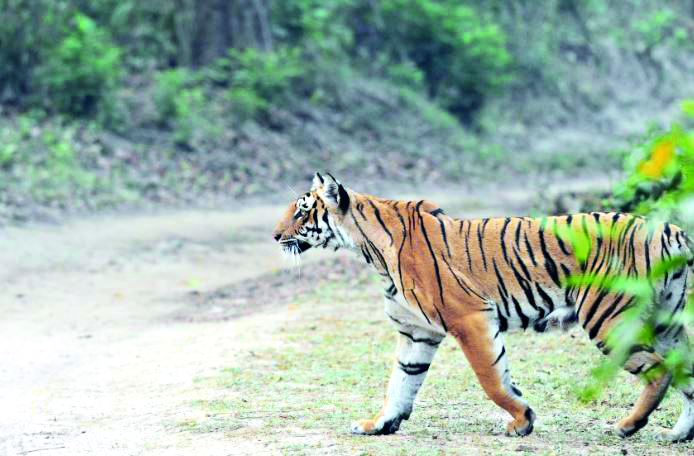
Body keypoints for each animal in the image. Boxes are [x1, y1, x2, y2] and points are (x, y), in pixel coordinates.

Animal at [272, 172, 694, 441]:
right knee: (685, 372)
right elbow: (401, 382)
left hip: (608, 318)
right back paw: (676, 434)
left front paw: (522, 421)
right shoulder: (417, 332)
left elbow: (492, 380)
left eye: (302, 210)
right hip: (666, 322)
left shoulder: (469, 317)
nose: (275, 236)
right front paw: (378, 424)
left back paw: (627, 426)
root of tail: (671, 230)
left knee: (659, 372)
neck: (370, 249)